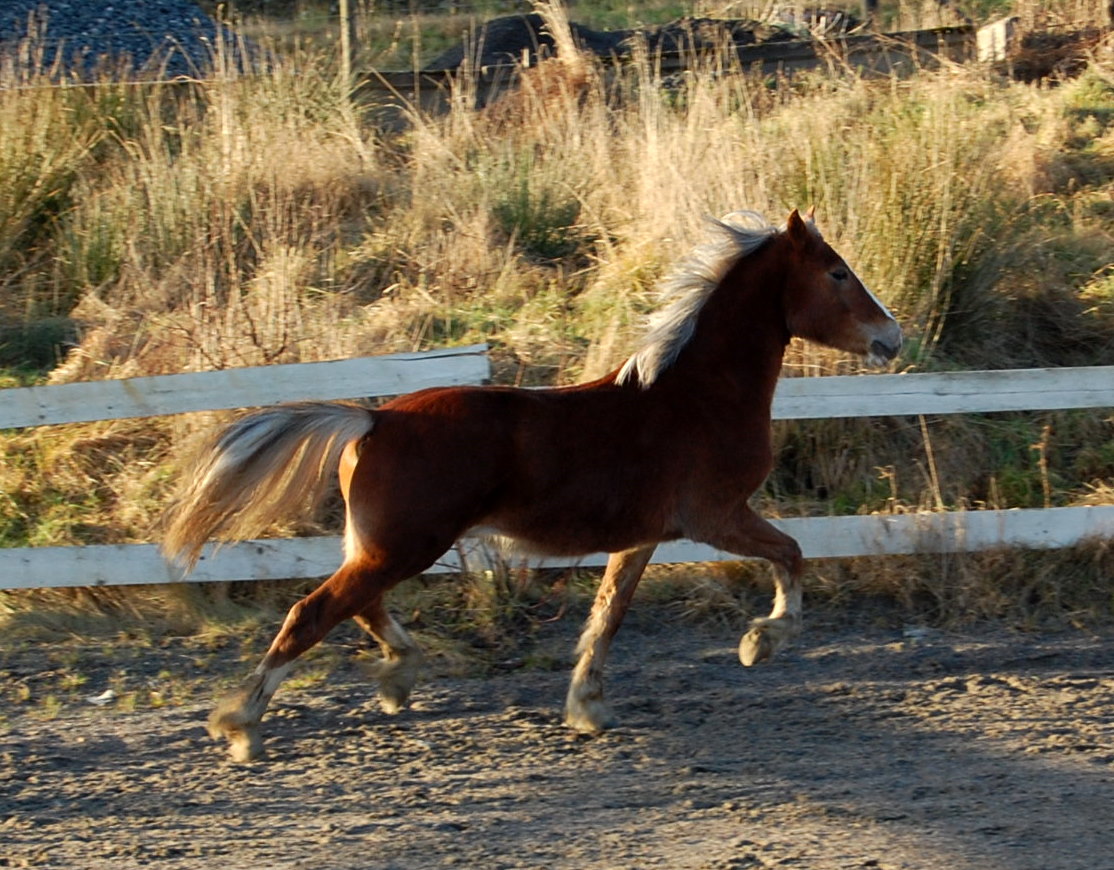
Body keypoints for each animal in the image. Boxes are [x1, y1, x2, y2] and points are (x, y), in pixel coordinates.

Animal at [163, 208, 902, 762]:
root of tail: (373, 417)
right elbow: (791, 555)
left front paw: (588, 708)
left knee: (358, 606)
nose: (892, 337)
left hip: (380, 546)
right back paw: (242, 727)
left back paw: (399, 677)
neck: (697, 395)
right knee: (312, 612)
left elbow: (607, 617)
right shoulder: (716, 517)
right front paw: (759, 642)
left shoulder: (641, 539)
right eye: (837, 272)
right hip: (404, 545)